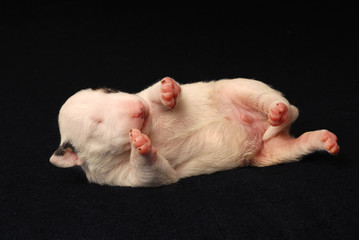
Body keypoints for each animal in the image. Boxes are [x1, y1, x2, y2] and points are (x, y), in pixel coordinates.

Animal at [50, 78, 340, 187]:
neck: (149, 126)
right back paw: (321, 139)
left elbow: (151, 96)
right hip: (270, 153)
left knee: (282, 105)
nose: (137, 109)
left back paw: (277, 111)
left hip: (243, 87)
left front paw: (167, 91)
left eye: (109, 91)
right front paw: (141, 145)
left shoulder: (145, 100)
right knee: (293, 145)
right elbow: (154, 175)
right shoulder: (118, 177)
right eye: (97, 124)